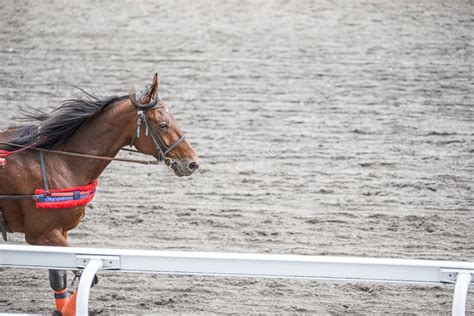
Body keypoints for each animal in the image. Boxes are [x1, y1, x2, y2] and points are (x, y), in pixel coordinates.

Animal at [0, 73, 198, 314]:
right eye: (163, 124)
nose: (192, 163)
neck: (58, 160)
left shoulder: (57, 232)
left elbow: (59, 278)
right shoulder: (41, 234)